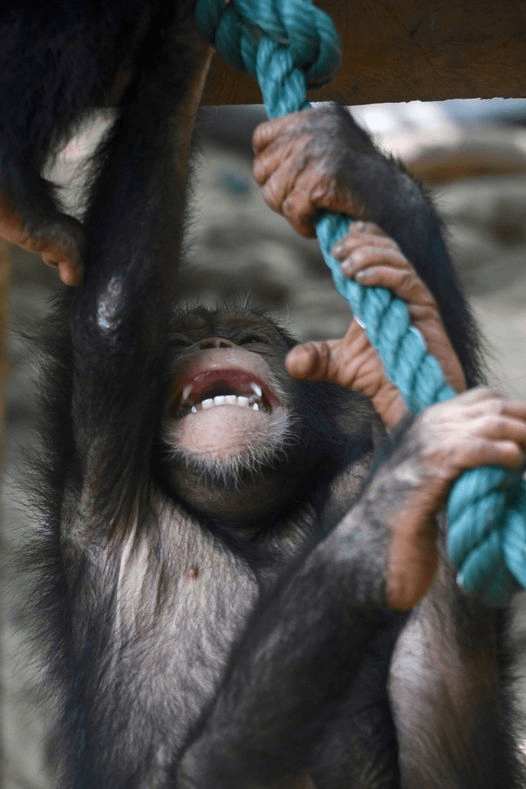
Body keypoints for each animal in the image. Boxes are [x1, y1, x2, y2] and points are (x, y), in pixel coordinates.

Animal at [30, 102, 526, 788]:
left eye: (250, 338)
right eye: (180, 344)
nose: (213, 345)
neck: (246, 517)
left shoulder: (348, 477)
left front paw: (352, 168)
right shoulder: (102, 467)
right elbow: (113, 311)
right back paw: (388, 514)